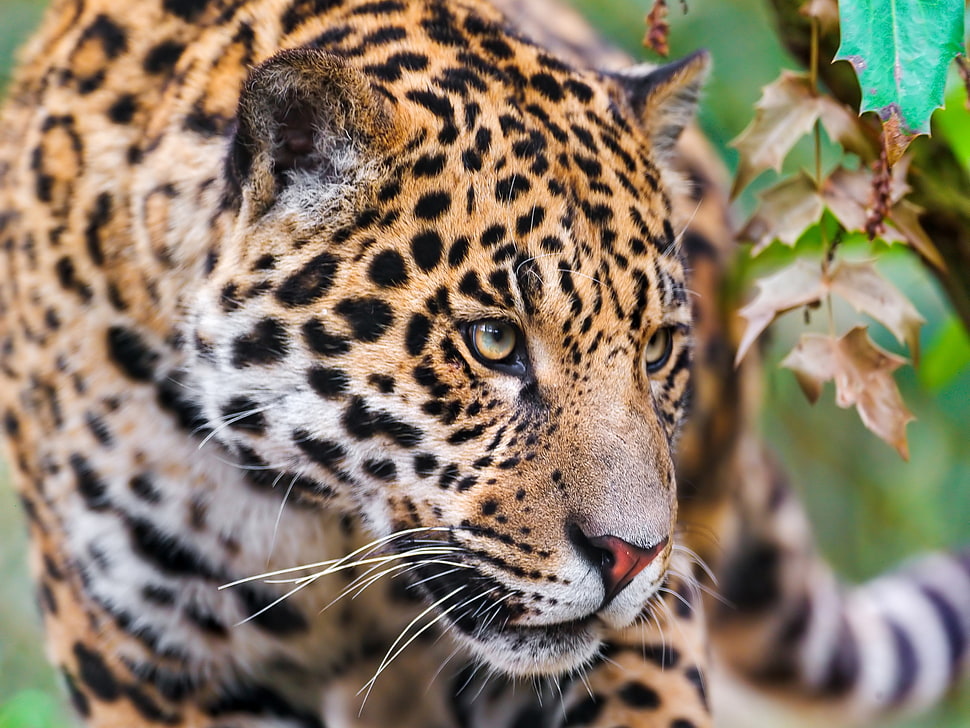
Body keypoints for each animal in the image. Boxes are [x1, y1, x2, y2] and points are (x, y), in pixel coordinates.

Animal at [0, 0, 967, 727]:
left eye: (656, 349)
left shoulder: (647, 635)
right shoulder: (151, 668)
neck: (324, 523)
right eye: (494, 342)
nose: (633, 558)